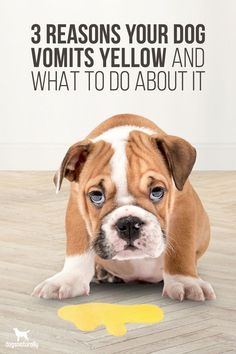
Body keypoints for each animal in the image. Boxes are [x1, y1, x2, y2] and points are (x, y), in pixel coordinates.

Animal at [32, 114, 216, 302]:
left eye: (157, 191)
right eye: (96, 195)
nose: (128, 224)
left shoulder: (183, 207)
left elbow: (181, 248)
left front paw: (185, 282)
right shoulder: (77, 206)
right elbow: (77, 246)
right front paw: (68, 280)